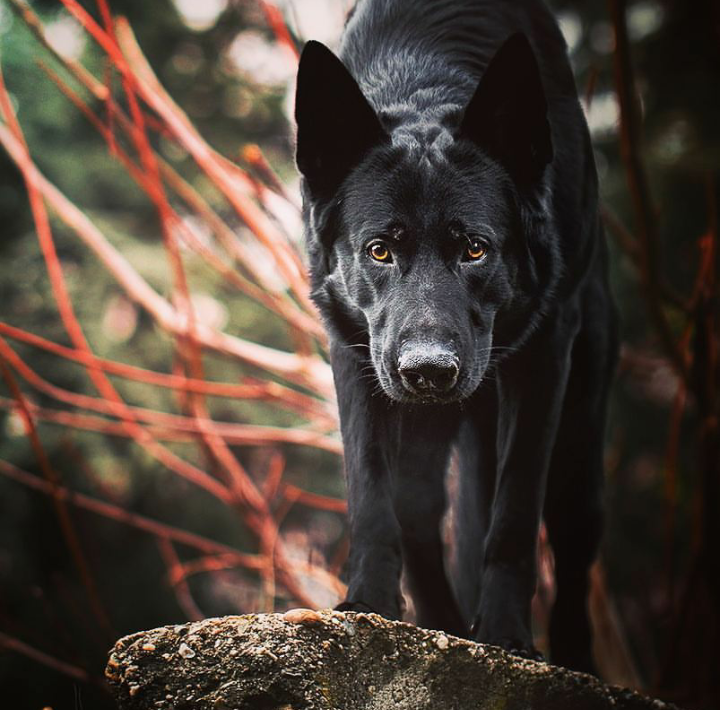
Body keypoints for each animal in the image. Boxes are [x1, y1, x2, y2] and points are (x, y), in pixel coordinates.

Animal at [294, 0, 620, 672]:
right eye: (379, 250)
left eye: (475, 248)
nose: (428, 371)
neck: (425, 76)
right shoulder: (354, 346)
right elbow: (373, 492)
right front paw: (368, 607)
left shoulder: (546, 352)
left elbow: (515, 511)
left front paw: (504, 634)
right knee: (420, 509)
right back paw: (443, 623)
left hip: (578, 427)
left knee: (569, 529)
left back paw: (568, 656)